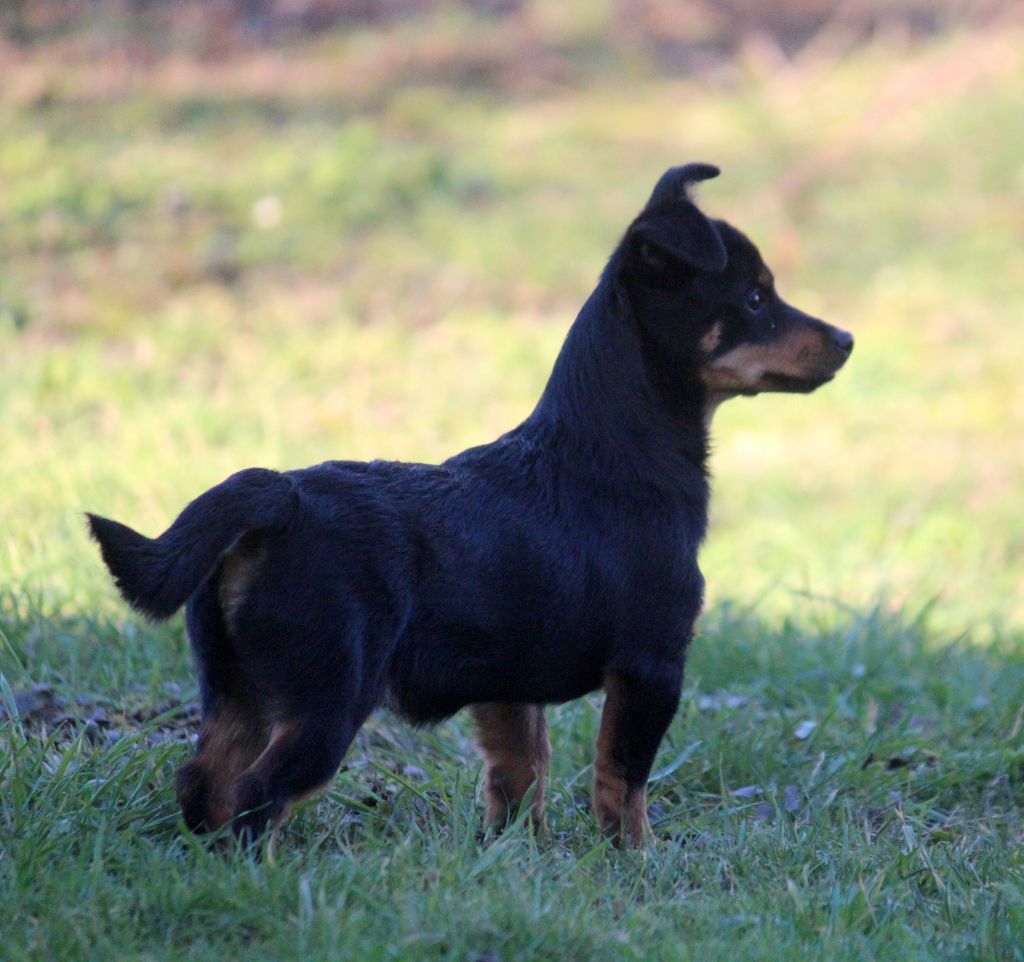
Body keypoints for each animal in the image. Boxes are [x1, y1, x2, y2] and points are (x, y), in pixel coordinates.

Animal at [88, 165, 851, 848]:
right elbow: (621, 784)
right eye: (755, 299)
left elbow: (520, 775)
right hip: (327, 699)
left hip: (237, 689)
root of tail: (278, 497)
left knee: (203, 783)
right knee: (258, 795)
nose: (846, 339)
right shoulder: (651, 666)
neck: (606, 450)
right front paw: (635, 862)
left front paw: (512, 856)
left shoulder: (507, 685)